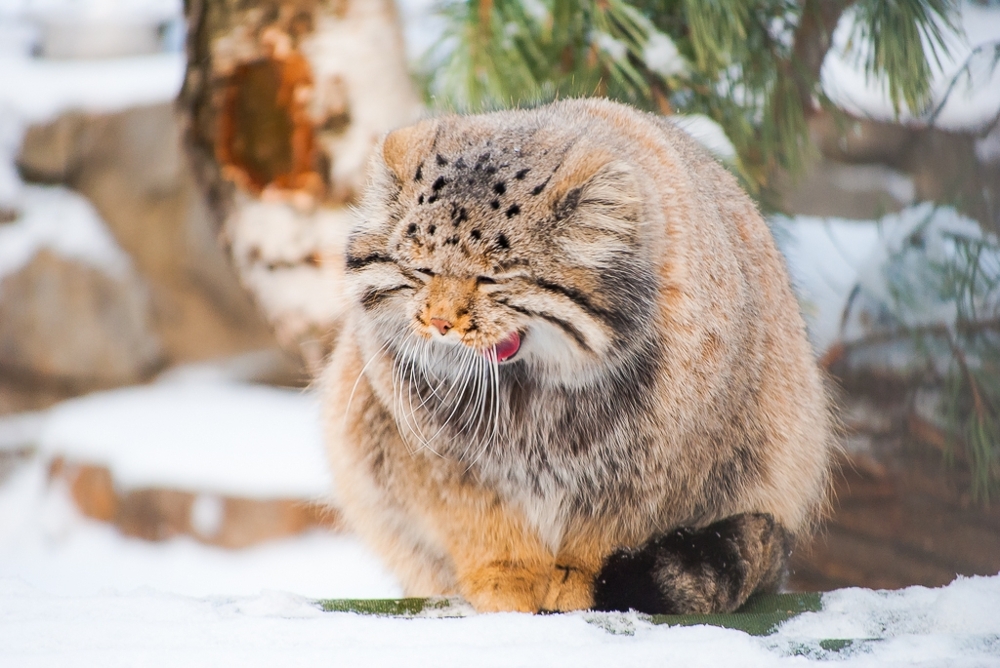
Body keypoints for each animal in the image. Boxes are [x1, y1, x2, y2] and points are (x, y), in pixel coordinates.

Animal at [322, 96, 836, 612]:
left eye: (490, 279)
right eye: (422, 270)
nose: (439, 323)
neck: (529, 396)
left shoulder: (655, 470)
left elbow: (603, 533)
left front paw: (574, 576)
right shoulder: (436, 459)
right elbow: (482, 524)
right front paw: (505, 576)